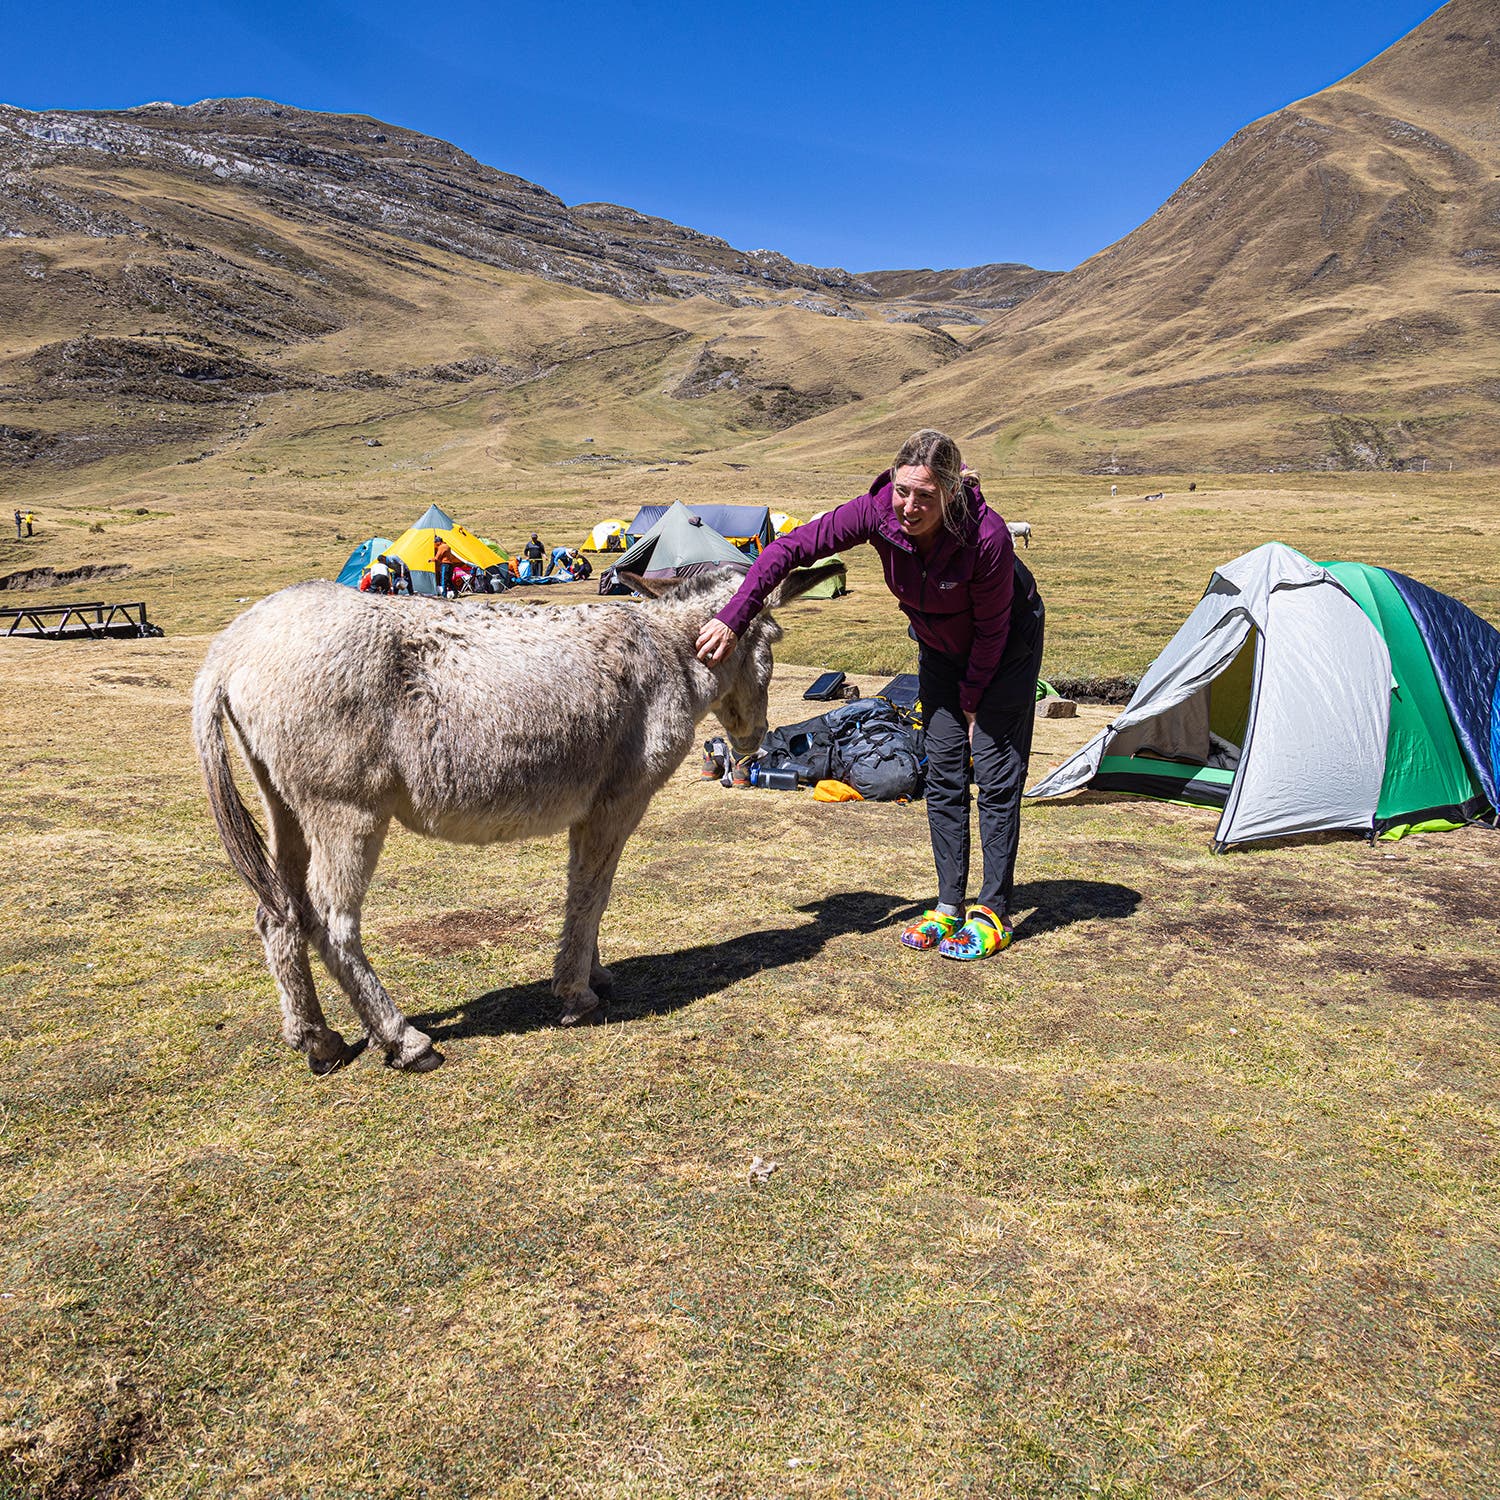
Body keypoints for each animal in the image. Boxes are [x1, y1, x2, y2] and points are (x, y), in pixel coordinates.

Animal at [192, 563, 838, 1076]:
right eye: (774, 636)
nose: (753, 742)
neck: (672, 652)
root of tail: (234, 646)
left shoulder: (591, 811)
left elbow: (587, 890)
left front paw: (593, 974)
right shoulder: (617, 803)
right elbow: (592, 892)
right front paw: (576, 993)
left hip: (285, 807)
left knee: (280, 916)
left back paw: (317, 1040)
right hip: (346, 812)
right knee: (332, 922)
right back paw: (403, 1040)